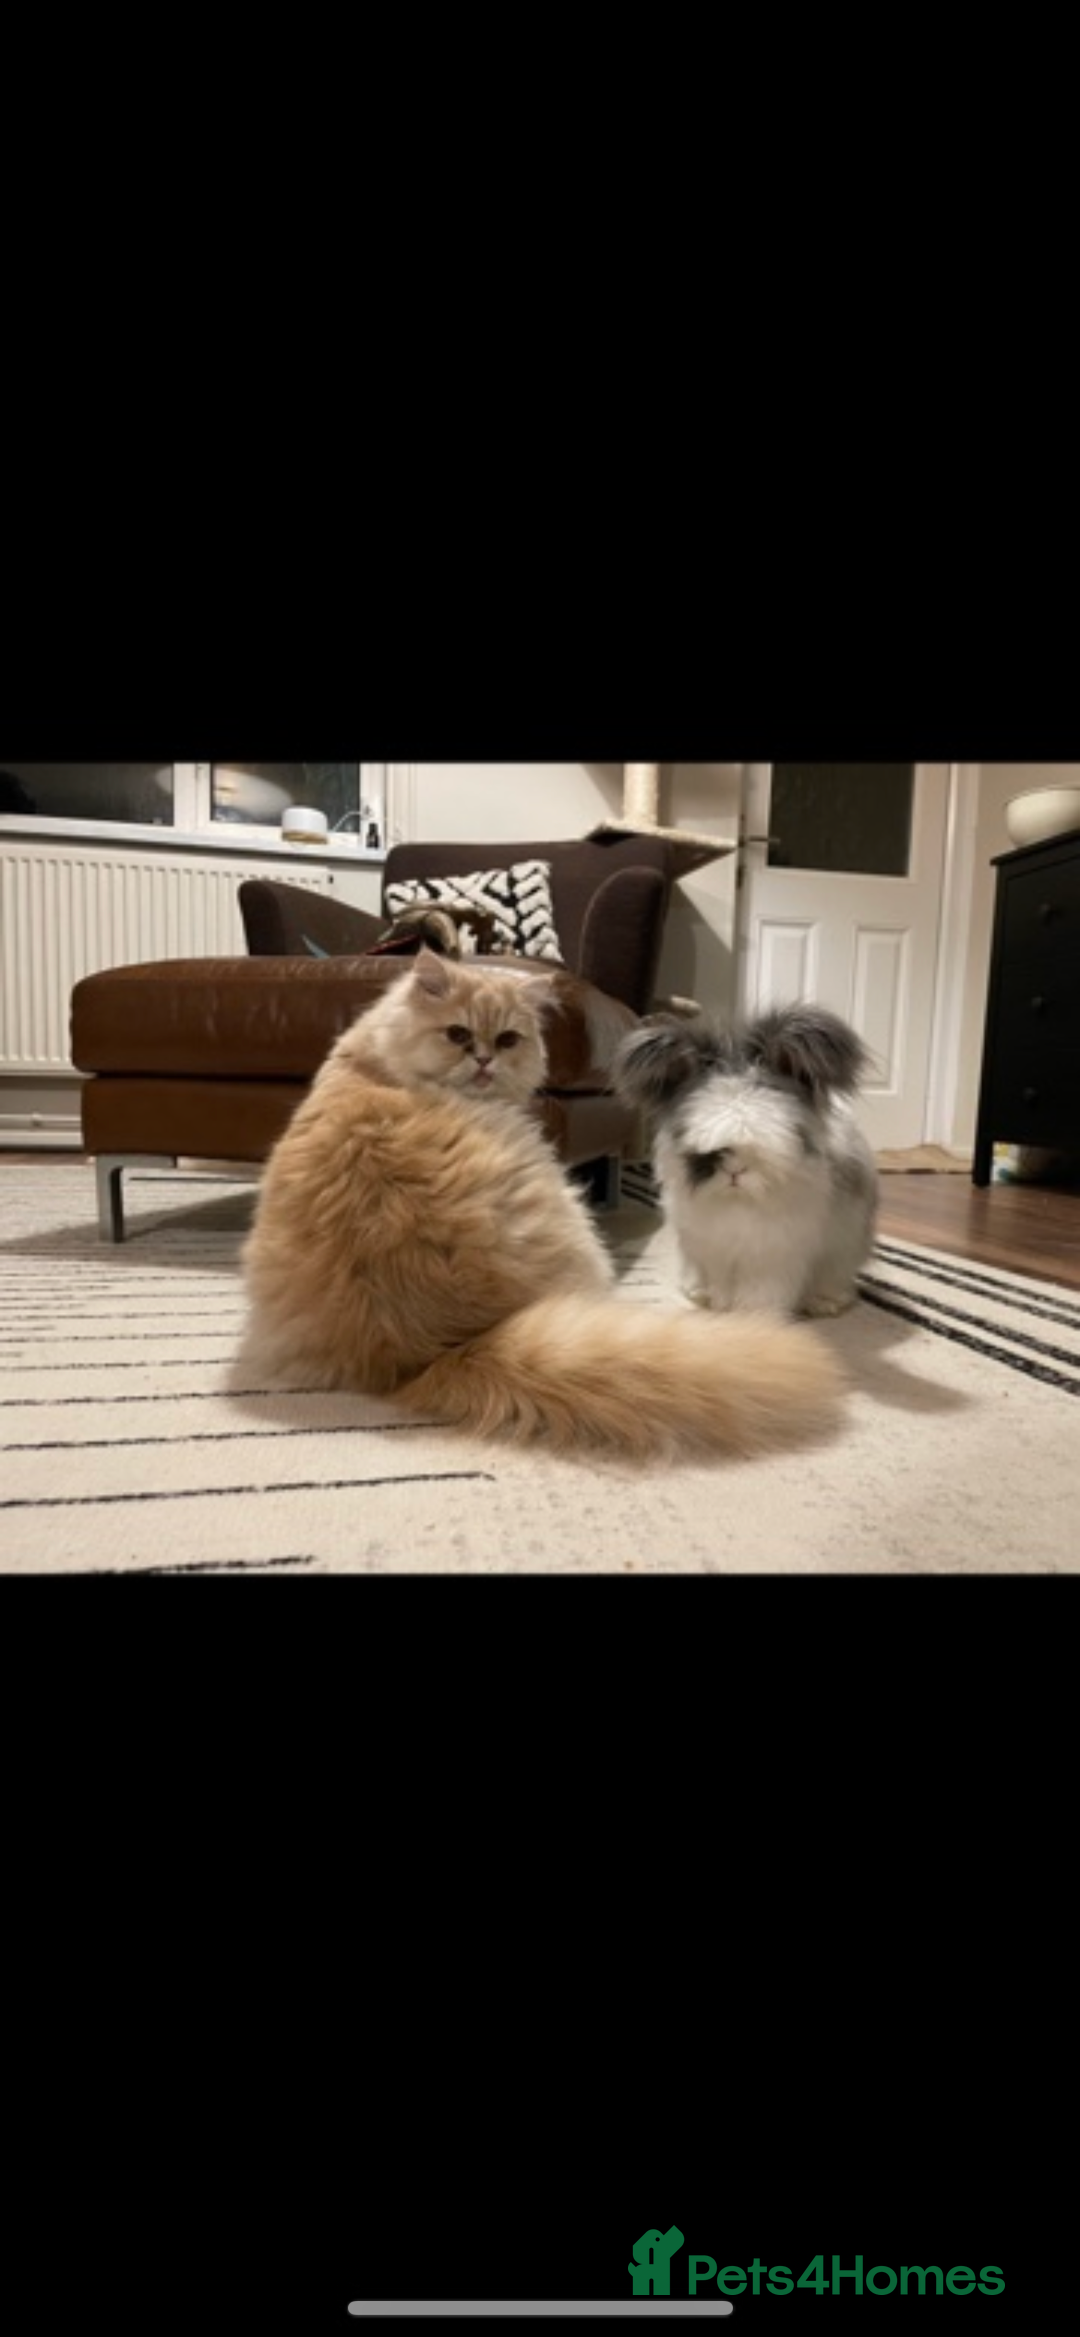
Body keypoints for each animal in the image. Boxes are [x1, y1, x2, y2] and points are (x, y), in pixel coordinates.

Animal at [612, 1002, 879, 1319]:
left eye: (777, 1131)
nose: (735, 1172)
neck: (738, 1200)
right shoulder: (711, 1250)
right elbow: (720, 1282)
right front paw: (719, 1307)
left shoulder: (771, 1255)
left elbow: (759, 1290)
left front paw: (752, 1317)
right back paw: (698, 1293)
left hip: (842, 1246)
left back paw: (824, 1303)